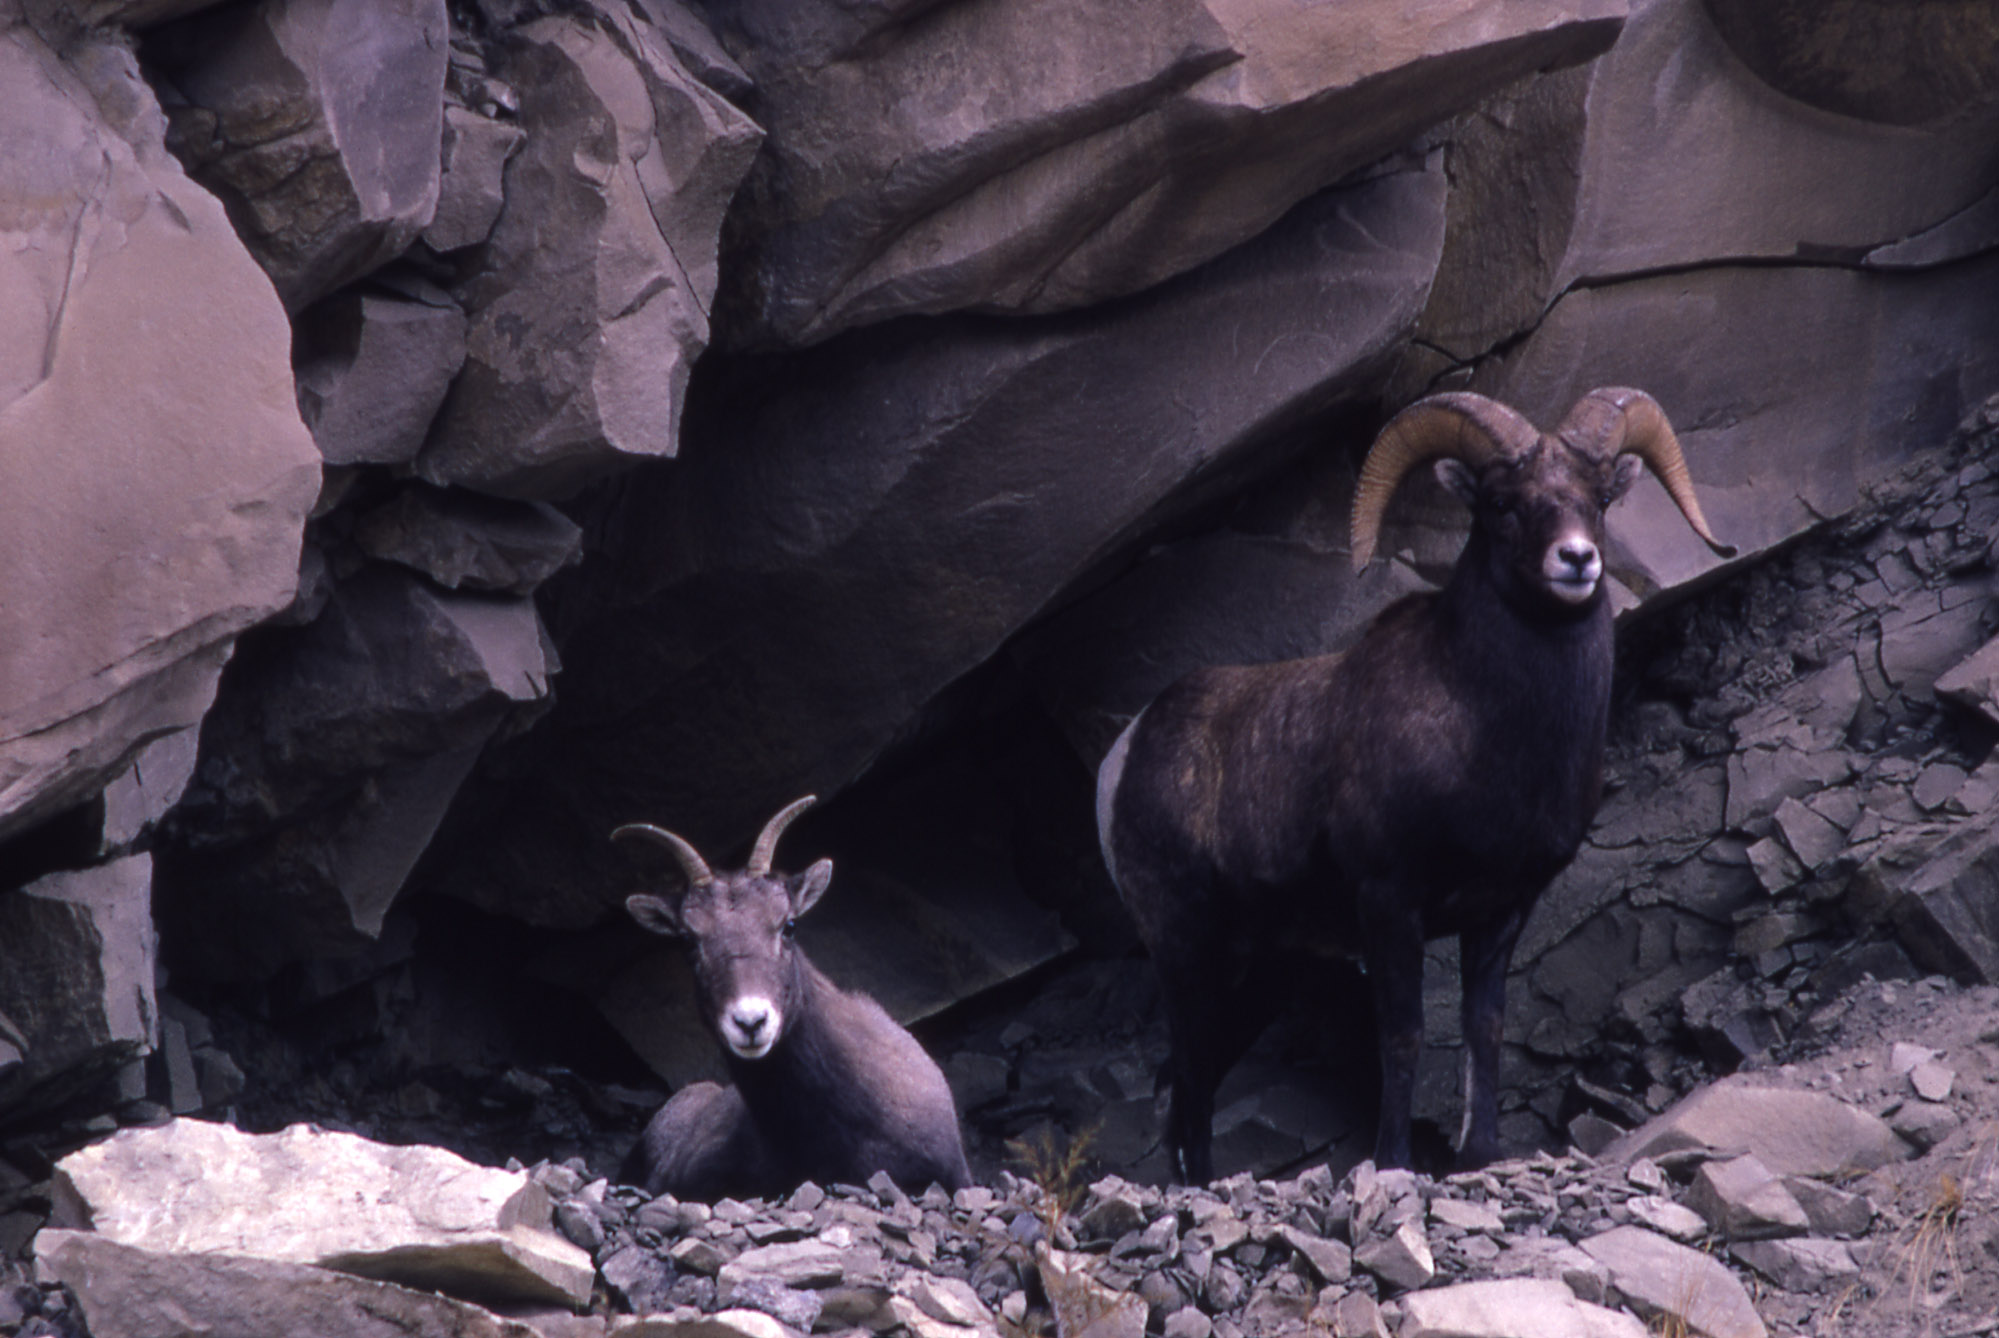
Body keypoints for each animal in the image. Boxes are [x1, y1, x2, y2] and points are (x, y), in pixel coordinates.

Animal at [1095, 386, 1735, 1176]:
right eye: (1502, 503)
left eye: (1598, 499)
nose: (1576, 560)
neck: (1486, 730)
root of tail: (1124, 754)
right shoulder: (1389, 905)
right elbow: (1402, 1037)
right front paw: (1395, 1160)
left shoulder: (1501, 912)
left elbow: (1482, 1028)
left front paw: (1480, 1155)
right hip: (1186, 951)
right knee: (1187, 1080)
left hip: (1259, 972)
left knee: (1192, 1080)